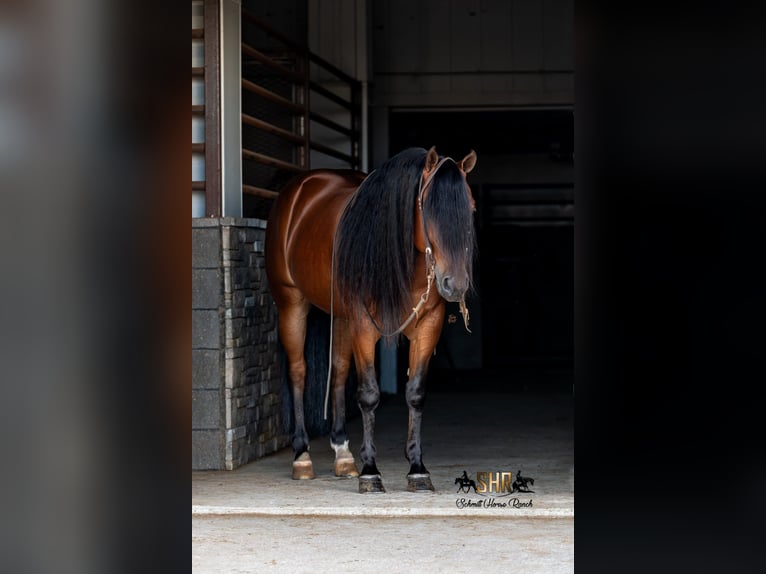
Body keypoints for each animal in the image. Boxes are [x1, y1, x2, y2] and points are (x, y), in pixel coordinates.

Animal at [264, 146, 477, 493]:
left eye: (470, 208)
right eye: (429, 210)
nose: (455, 284)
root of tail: (298, 190)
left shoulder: (428, 325)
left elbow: (415, 393)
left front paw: (417, 469)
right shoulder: (364, 326)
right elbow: (369, 394)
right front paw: (370, 472)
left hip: (342, 317)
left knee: (338, 372)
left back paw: (343, 455)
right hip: (292, 304)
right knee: (298, 371)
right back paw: (302, 457)